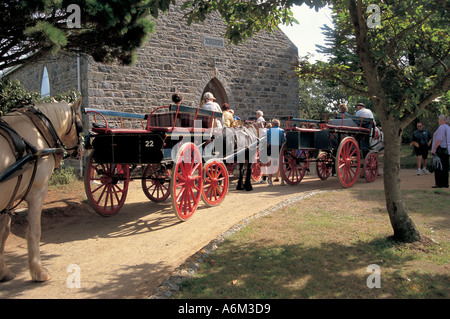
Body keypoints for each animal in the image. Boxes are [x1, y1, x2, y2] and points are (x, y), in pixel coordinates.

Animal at [0, 98, 82, 282]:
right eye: (80, 126)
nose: (79, 151)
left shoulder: (11, 198)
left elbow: (4, 232)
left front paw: (3, 271)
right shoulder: (37, 192)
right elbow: (34, 231)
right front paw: (39, 271)